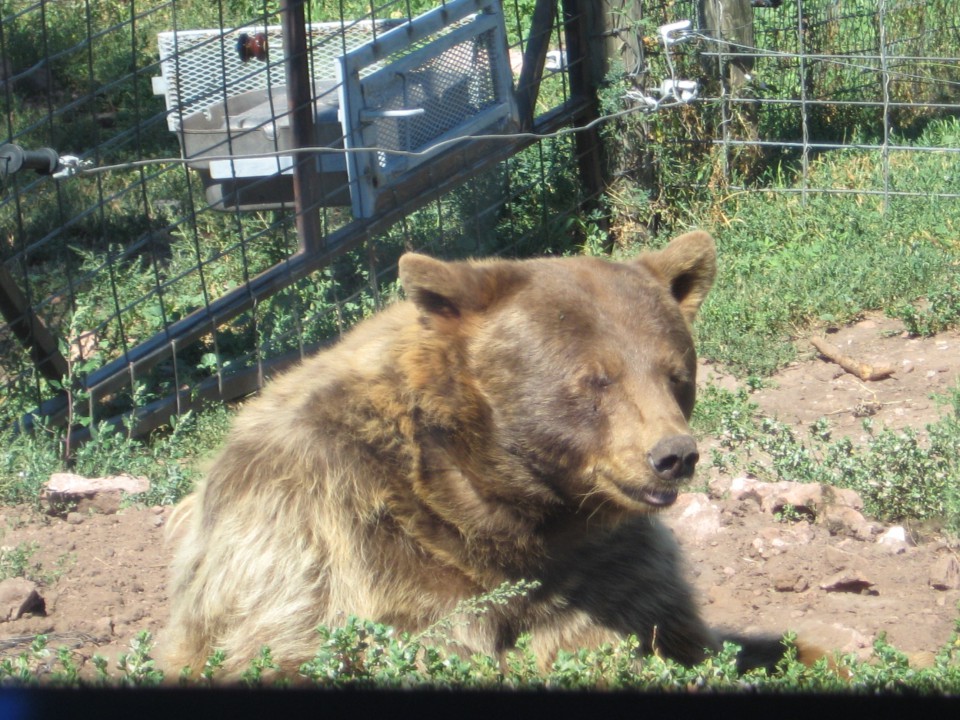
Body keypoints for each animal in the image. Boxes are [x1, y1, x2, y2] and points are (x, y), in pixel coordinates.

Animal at [163, 232, 796, 680]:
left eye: (675, 374)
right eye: (597, 379)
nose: (674, 456)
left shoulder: (600, 561)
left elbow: (671, 632)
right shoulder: (333, 525)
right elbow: (307, 641)